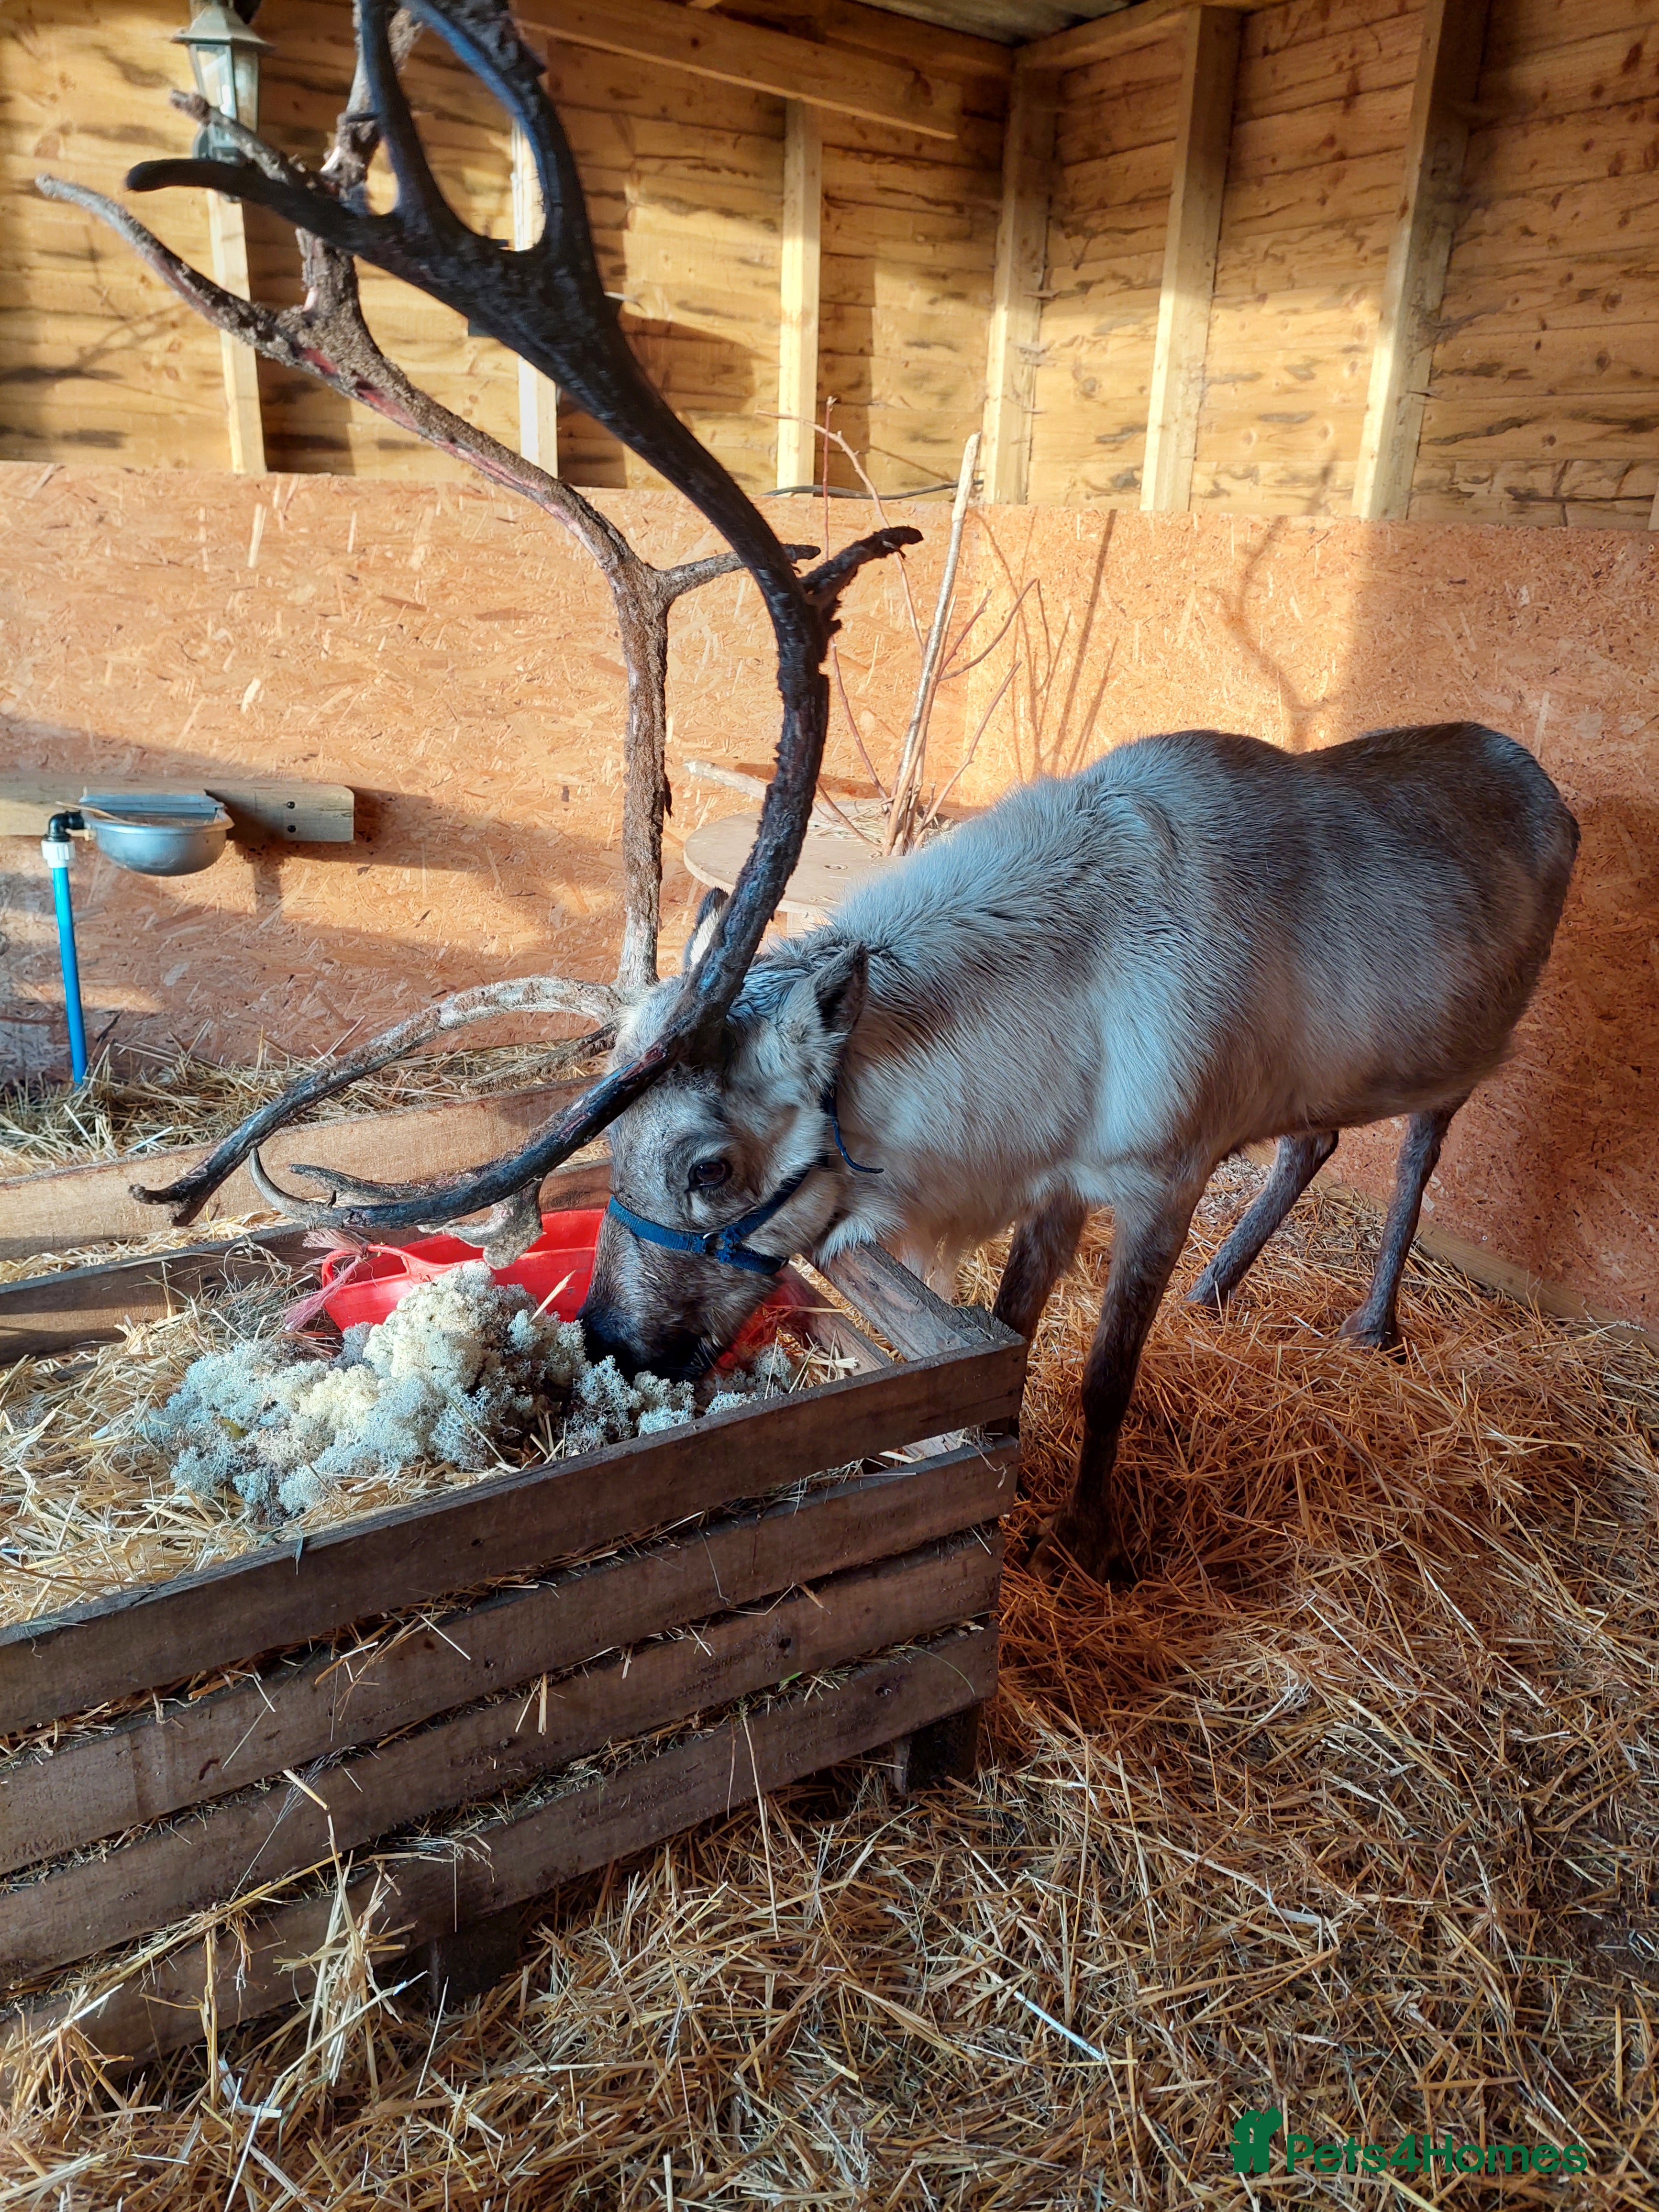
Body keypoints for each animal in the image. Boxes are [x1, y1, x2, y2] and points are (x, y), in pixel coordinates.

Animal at [579, 720, 1578, 1582]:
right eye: (614, 1133)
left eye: (709, 1167)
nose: (607, 1337)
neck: (1066, 1006)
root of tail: (1551, 791)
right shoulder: (1058, 1177)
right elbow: (1012, 1322)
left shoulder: (1163, 1179)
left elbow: (1107, 1376)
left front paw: (1089, 1533)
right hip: (1318, 1077)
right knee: (1314, 1139)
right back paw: (1215, 1286)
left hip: (1462, 1053)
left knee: (1415, 1158)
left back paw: (1373, 1322)